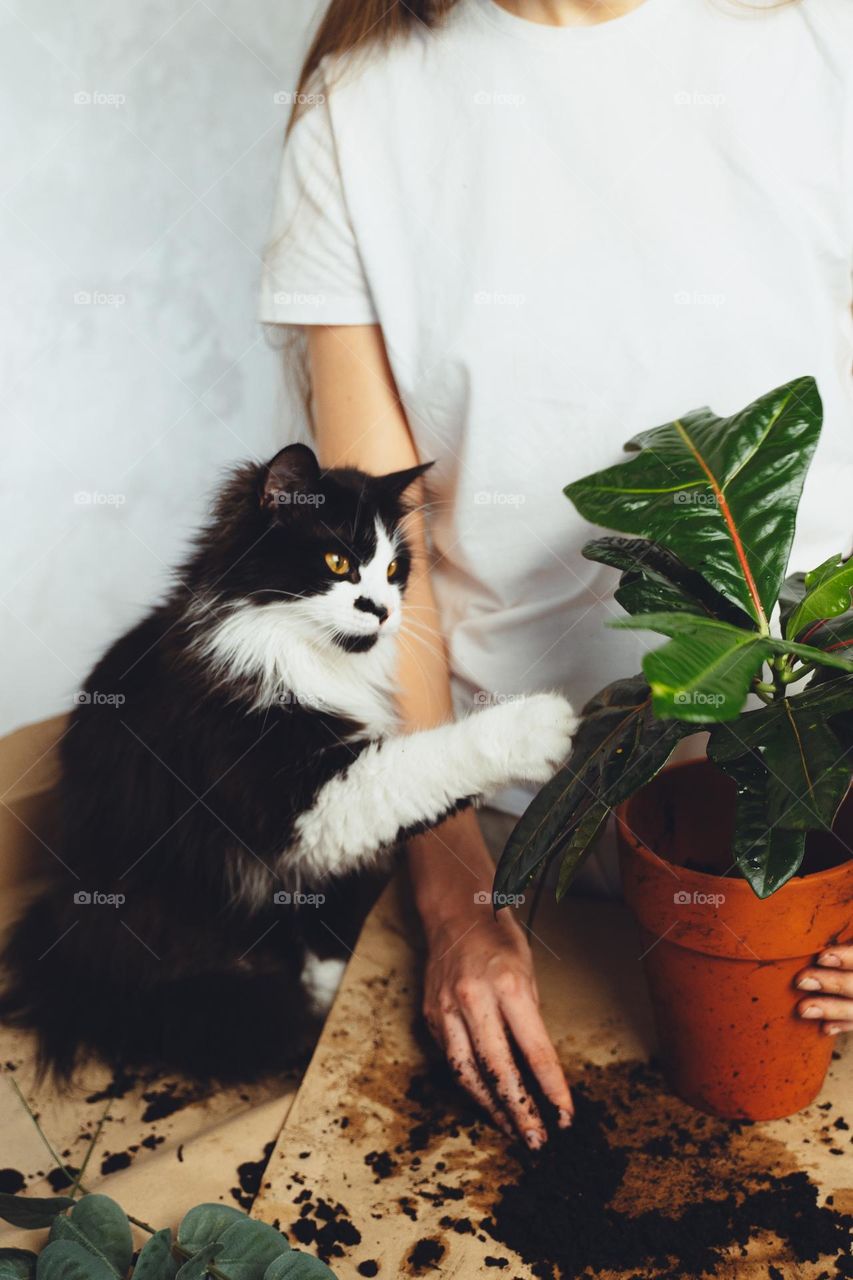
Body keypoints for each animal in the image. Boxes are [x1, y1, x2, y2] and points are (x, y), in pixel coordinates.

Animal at [0, 445, 573, 1085]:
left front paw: (330, 980)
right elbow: (426, 762)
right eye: (337, 561)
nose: (382, 610)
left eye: (394, 571)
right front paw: (543, 725)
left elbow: (319, 917)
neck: (300, 658)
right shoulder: (298, 801)